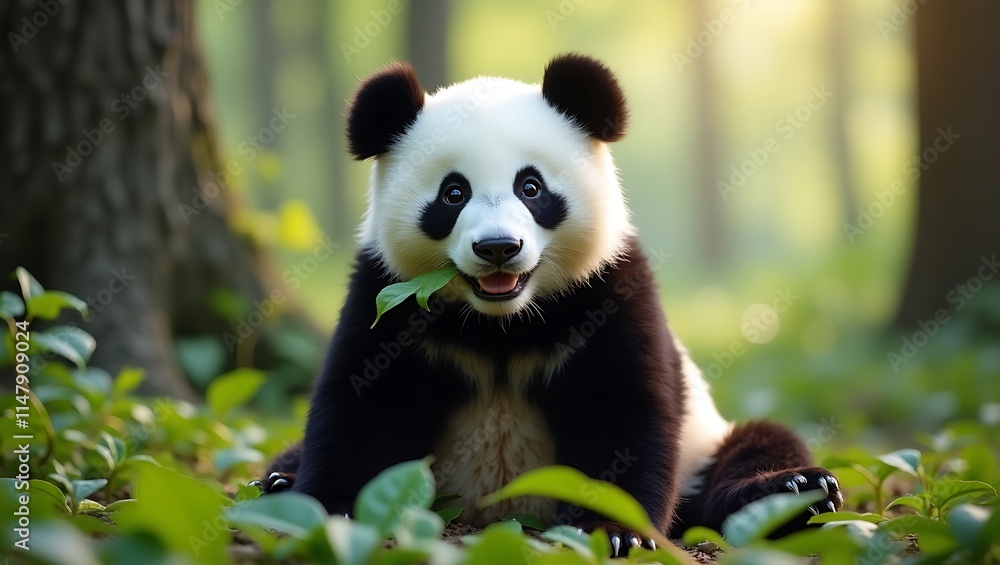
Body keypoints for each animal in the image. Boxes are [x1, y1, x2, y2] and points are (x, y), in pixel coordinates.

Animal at [256, 53, 842, 555]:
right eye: (453, 194)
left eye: (531, 187)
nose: (498, 247)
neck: (502, 323)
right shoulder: (385, 293)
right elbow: (362, 403)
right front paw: (322, 511)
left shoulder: (608, 291)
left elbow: (621, 410)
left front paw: (613, 531)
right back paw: (281, 479)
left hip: (704, 445)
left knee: (758, 446)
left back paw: (795, 492)